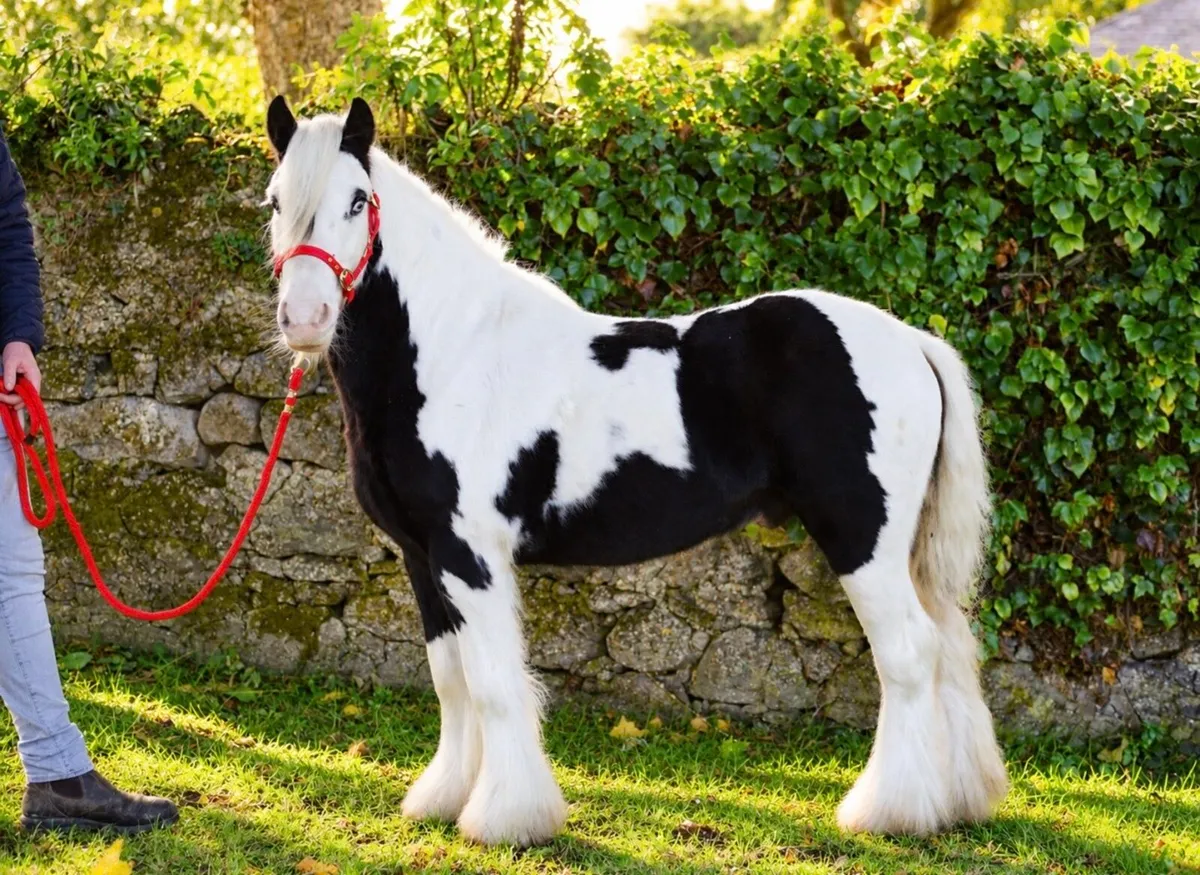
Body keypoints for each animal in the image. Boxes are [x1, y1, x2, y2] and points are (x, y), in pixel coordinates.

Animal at [262, 95, 1009, 847]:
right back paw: (956, 800)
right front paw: (444, 797)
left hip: (861, 539)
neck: (451, 354)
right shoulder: (424, 556)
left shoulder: (471, 554)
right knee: (948, 650)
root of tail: (910, 341)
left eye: (358, 200)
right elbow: (452, 678)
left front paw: (505, 817)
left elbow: (494, 682)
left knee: (909, 654)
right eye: (274, 201)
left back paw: (890, 811)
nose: (305, 318)